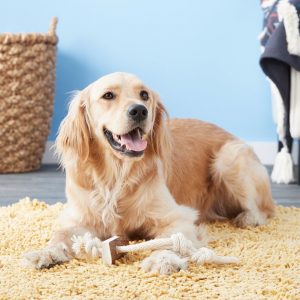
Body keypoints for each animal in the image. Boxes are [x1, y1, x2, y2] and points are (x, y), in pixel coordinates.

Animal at [24, 72, 274, 274]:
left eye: (144, 95)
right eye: (108, 95)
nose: (139, 110)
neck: (116, 175)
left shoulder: (178, 216)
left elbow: (171, 241)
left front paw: (162, 259)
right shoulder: (77, 218)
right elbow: (59, 235)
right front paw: (45, 252)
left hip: (228, 158)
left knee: (263, 209)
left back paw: (248, 218)